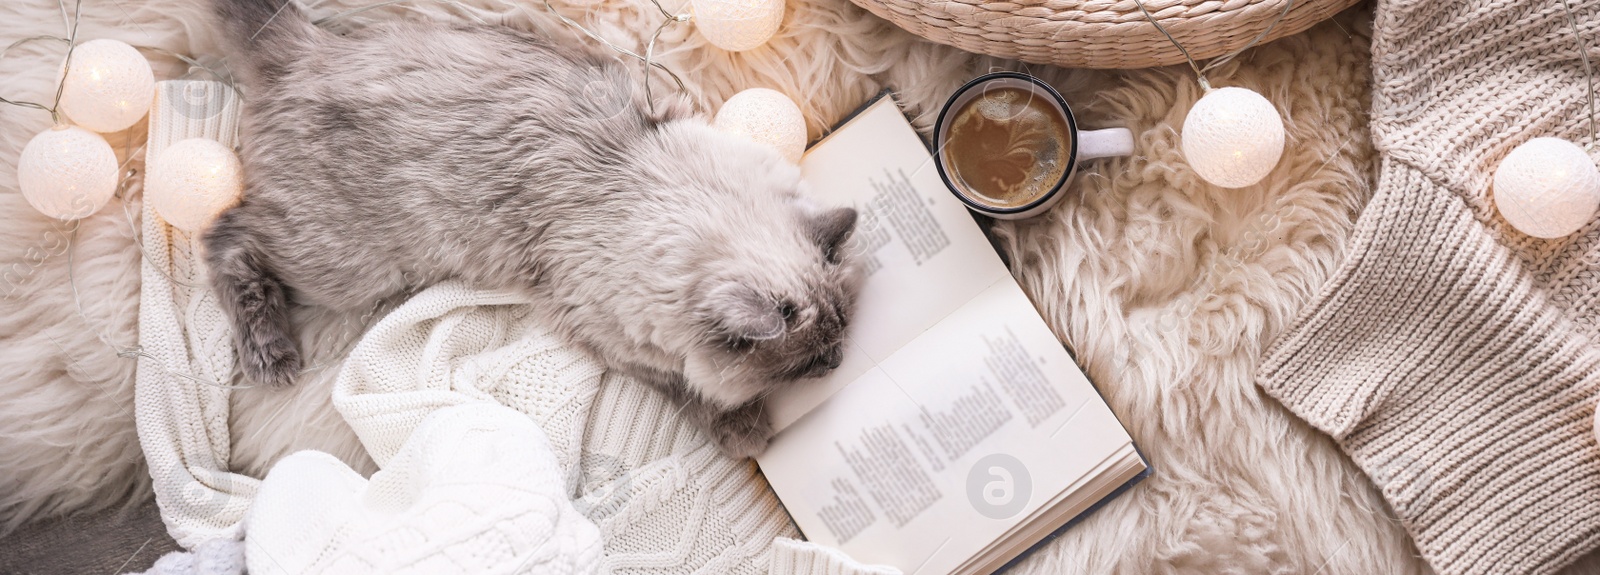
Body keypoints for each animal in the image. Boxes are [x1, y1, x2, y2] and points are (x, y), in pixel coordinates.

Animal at [209, 0, 864, 458]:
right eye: (804, 365)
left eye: (840, 337)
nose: (836, 364)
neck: (643, 188)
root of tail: (305, 47)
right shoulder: (615, 337)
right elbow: (689, 389)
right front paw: (744, 430)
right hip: (349, 271)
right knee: (226, 234)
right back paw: (270, 355)